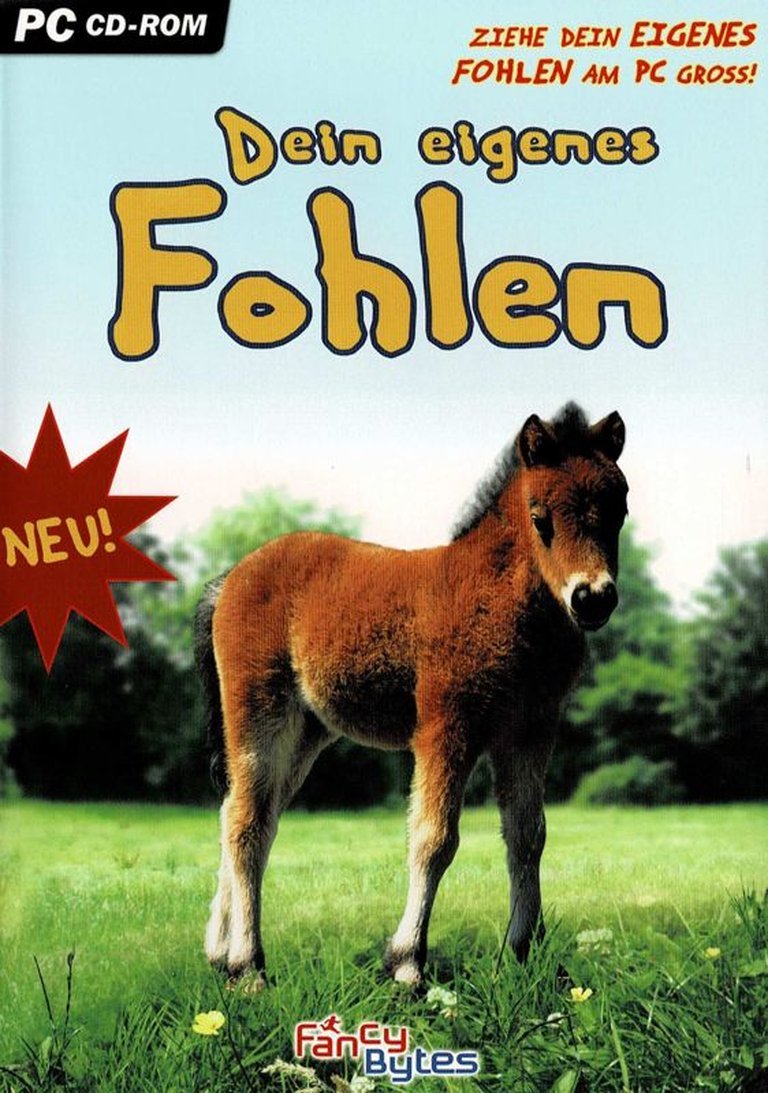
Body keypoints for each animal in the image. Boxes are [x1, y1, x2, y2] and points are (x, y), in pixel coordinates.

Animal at [195, 402, 628, 990]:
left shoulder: (530, 732)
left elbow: (527, 836)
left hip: (306, 733)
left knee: (247, 815)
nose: (593, 598)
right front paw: (406, 963)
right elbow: (434, 838)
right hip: (258, 712)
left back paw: (220, 952)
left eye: (619, 510)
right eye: (541, 518)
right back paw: (248, 967)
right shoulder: (446, 727)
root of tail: (231, 578)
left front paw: (521, 955)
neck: (498, 599)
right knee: (244, 823)